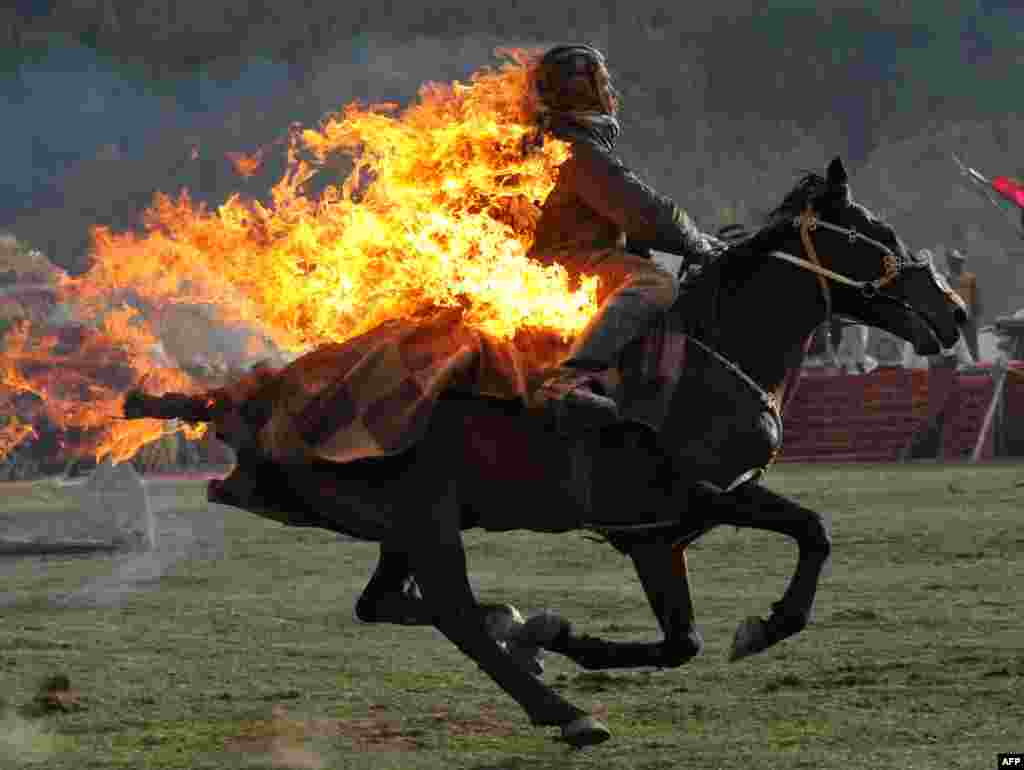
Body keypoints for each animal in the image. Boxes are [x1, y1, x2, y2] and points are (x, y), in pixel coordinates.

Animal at [123, 157, 962, 745]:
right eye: (875, 235)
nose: (952, 311)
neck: (710, 354)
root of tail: (258, 398)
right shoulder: (693, 506)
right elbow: (801, 539)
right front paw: (761, 625)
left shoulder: (664, 531)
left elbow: (692, 632)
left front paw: (572, 637)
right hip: (429, 522)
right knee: (454, 615)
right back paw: (560, 708)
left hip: (401, 523)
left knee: (389, 604)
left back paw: (522, 633)